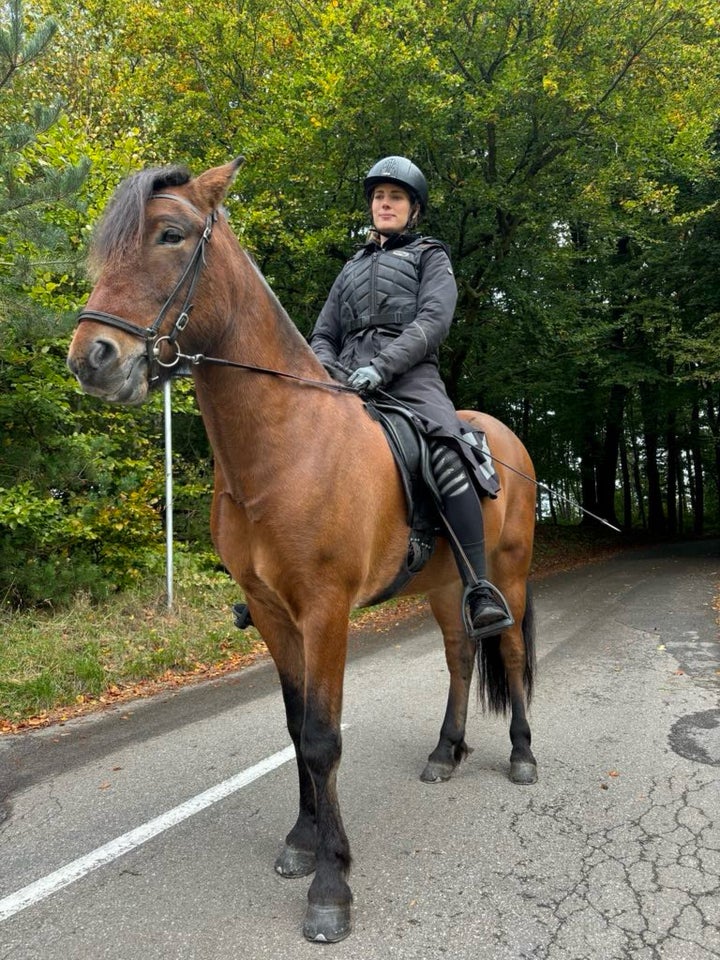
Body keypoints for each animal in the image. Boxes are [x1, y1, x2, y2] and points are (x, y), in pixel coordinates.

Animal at [67, 159, 536, 944]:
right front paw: (301, 839)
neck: (283, 445)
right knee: (460, 657)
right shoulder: (272, 612)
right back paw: (445, 752)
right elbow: (294, 729)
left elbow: (323, 738)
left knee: (508, 650)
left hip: (511, 574)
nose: (91, 359)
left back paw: (524, 754)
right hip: (447, 587)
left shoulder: (325, 612)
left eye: (171, 235)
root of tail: (504, 439)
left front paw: (331, 885)